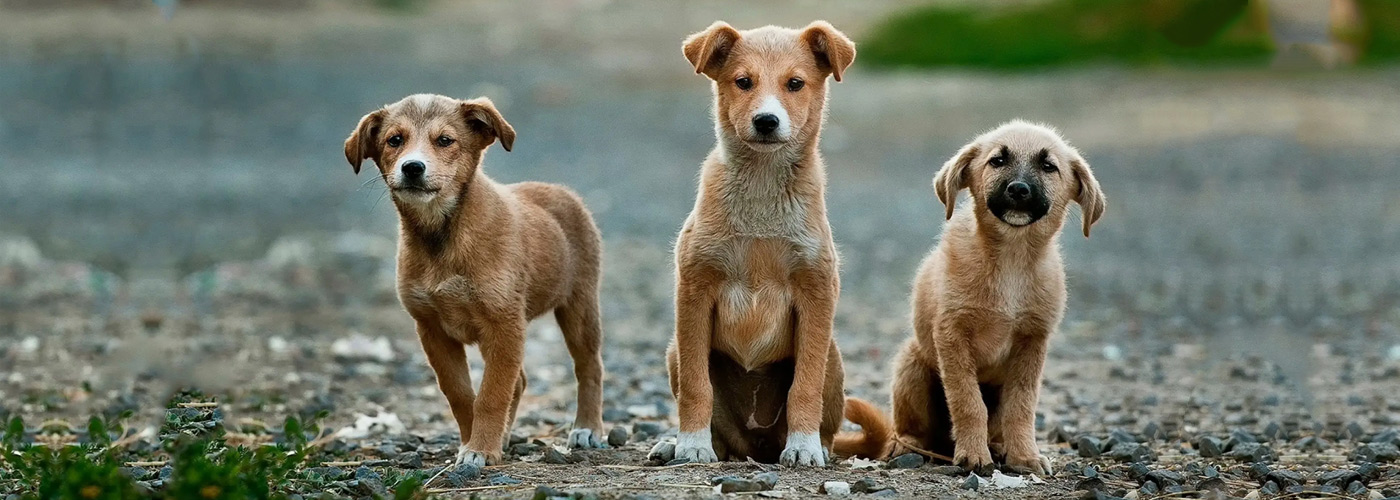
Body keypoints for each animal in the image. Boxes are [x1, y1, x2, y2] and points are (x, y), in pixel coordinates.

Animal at [344, 94, 607, 467]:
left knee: (589, 367)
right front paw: (475, 443)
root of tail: (560, 191)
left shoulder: (504, 324)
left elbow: (491, 394)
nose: (412, 168)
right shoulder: (432, 329)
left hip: (579, 306)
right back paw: (506, 436)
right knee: (520, 381)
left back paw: (587, 428)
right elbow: (461, 394)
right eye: (395, 140)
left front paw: (480, 448)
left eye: (445, 140)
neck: (442, 237)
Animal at [652, 19, 851, 462]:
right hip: (675, 351)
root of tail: (756, 444)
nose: (766, 121)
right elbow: (696, 386)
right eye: (743, 82)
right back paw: (677, 443)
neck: (761, 189)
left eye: (795, 84)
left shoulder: (816, 291)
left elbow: (804, 386)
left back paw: (816, 445)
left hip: (832, 355)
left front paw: (804, 447)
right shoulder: (694, 289)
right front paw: (691, 444)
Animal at [828, 120, 1103, 476]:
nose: (1018, 189)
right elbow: (968, 402)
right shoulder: (952, 335)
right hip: (911, 365)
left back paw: (998, 447)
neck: (1011, 260)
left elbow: (1022, 407)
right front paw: (973, 455)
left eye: (1048, 166)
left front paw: (1024, 456)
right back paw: (909, 446)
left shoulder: (1032, 342)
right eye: (997, 161)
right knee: (911, 429)